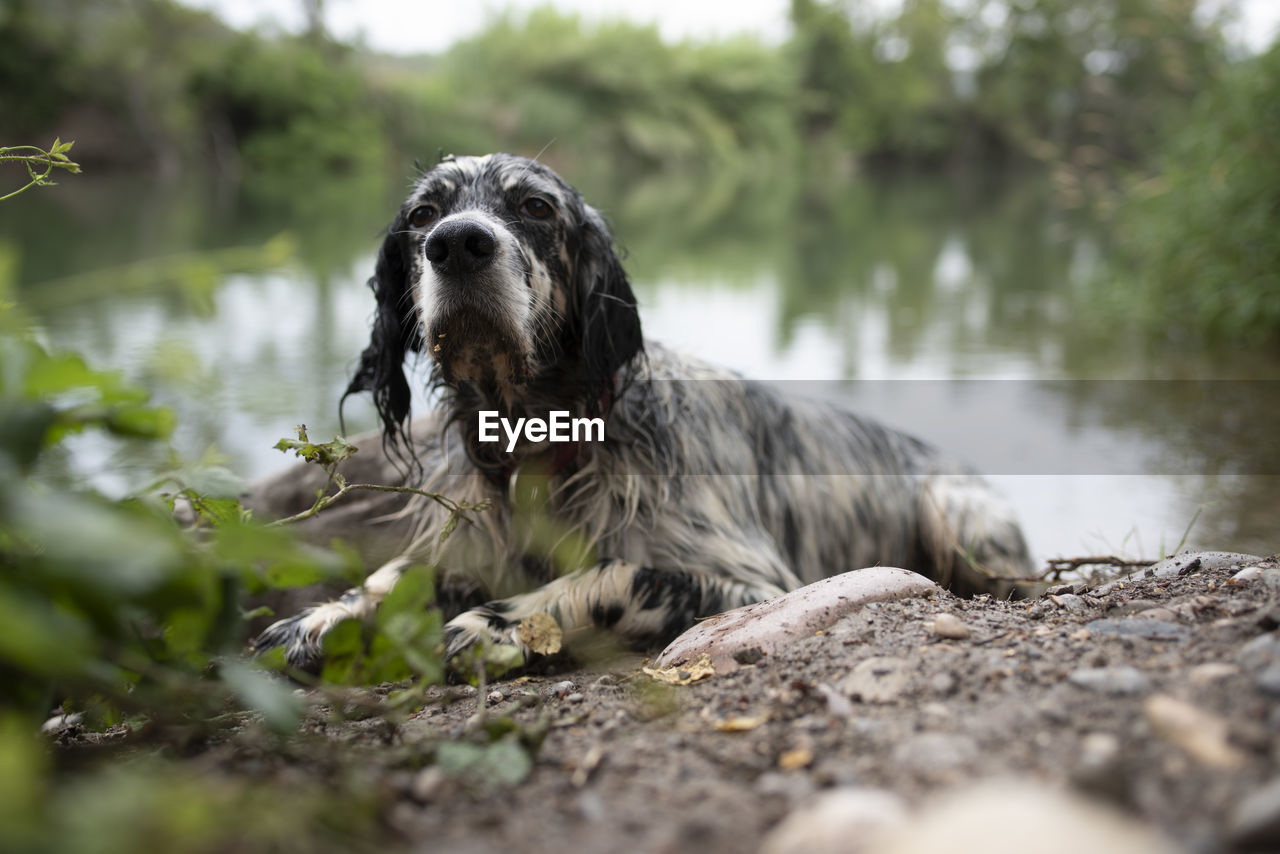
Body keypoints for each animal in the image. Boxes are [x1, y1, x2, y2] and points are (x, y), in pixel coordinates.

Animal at [252, 155, 1039, 676]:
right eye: (423, 216)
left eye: (535, 207)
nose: (457, 243)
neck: (546, 443)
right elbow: (399, 574)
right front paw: (323, 615)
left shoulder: (752, 584)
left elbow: (615, 575)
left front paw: (494, 623)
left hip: (953, 513)